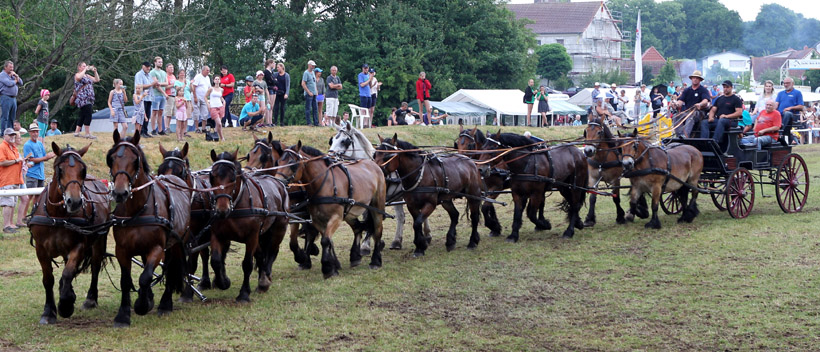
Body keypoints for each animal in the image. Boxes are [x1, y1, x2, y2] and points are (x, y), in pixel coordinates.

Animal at [28, 143, 110, 324]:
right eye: (60, 170)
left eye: (83, 170)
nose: (75, 202)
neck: (57, 215)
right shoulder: (41, 250)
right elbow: (48, 279)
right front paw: (48, 311)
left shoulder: (79, 246)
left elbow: (67, 273)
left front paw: (65, 305)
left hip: (99, 240)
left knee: (94, 266)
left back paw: (90, 299)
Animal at [107, 130, 191, 328]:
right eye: (112, 159)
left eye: (135, 159)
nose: (120, 193)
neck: (138, 210)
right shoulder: (122, 250)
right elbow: (126, 281)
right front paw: (123, 315)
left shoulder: (157, 248)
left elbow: (145, 277)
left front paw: (141, 305)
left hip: (177, 242)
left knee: (169, 268)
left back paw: (165, 304)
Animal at [208, 148, 292, 300]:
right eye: (212, 177)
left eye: (232, 177)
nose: (222, 210)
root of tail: (278, 183)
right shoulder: (217, 235)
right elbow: (216, 261)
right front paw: (223, 282)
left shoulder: (251, 237)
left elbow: (247, 264)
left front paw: (243, 294)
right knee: (261, 255)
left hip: (279, 229)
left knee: (271, 252)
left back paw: (264, 280)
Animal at [276, 141, 388, 278]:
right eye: (278, 162)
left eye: (293, 164)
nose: (279, 182)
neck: (324, 184)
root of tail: (373, 164)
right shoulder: (317, 219)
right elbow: (326, 240)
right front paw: (332, 265)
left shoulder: (336, 217)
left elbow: (325, 241)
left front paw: (328, 268)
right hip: (350, 212)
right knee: (357, 228)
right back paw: (355, 257)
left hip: (377, 206)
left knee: (378, 230)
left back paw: (375, 261)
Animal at [328, 122, 432, 252]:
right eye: (332, 140)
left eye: (344, 141)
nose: (330, 157)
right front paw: (377, 242)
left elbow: (371, 218)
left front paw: (366, 244)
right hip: (398, 196)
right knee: (401, 217)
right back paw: (397, 241)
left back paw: (427, 235)